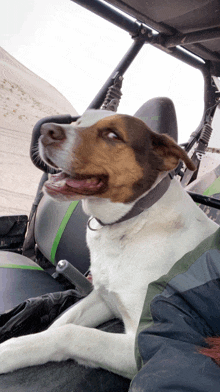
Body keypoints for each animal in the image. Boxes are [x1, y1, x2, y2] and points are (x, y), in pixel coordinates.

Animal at [0, 109, 217, 376]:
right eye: (78, 122)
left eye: (113, 135)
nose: (45, 130)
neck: (133, 219)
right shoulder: (105, 297)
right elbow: (62, 322)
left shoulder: (139, 346)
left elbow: (70, 334)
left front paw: (10, 350)